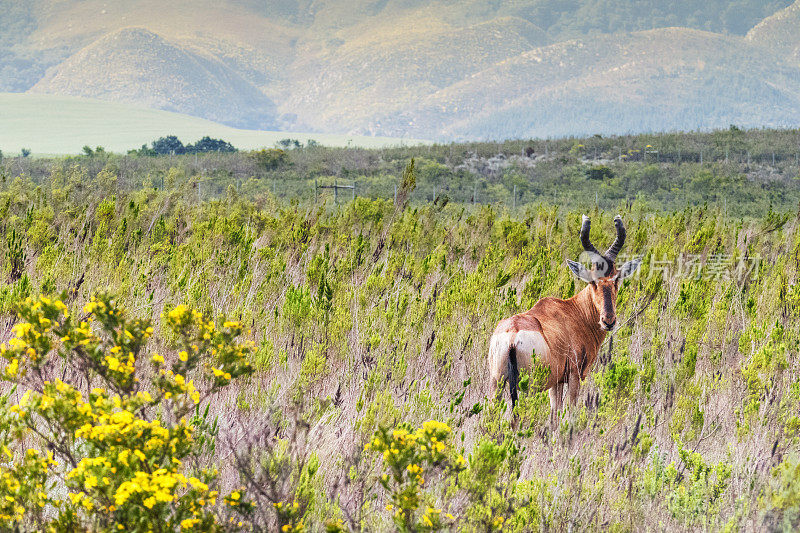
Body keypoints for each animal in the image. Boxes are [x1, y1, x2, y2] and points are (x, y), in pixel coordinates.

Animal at [484, 214, 640, 414]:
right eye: (592, 281)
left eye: (616, 279)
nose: (608, 321)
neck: (572, 311)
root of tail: (512, 335)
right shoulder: (574, 375)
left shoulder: (556, 382)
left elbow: (555, 413)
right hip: (529, 386)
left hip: (497, 382)